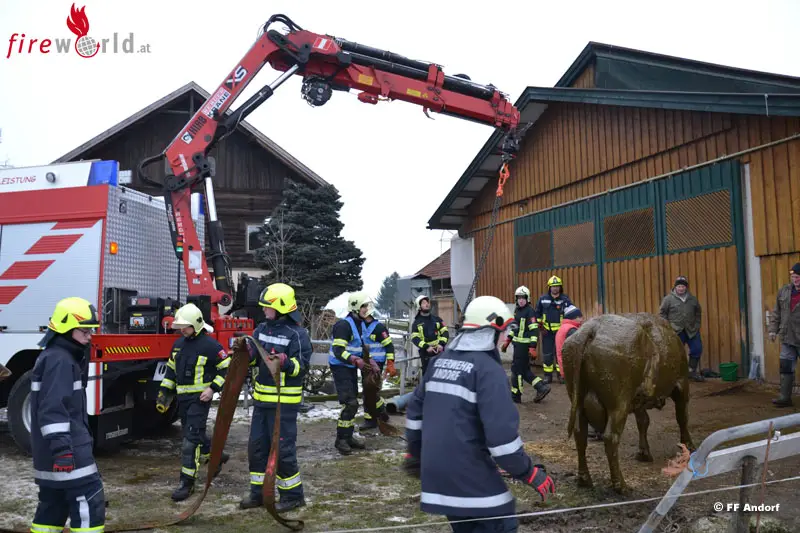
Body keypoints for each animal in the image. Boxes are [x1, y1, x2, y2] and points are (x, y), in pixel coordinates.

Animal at [562, 312, 694, 493]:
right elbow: (682, 418)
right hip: (618, 405)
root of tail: (591, 329)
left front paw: (644, 453)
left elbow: (643, 422)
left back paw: (584, 479)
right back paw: (621, 485)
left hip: (579, 402)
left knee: (580, 434)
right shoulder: (682, 385)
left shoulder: (638, 401)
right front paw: (688, 445)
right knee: (611, 438)